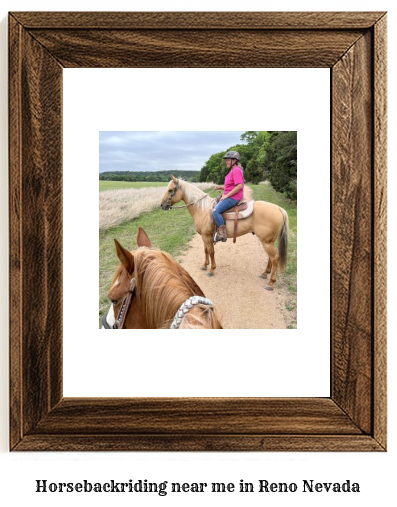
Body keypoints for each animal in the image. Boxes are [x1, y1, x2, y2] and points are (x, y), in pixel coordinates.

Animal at [160, 177, 288, 292]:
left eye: (171, 190)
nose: (162, 205)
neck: (202, 209)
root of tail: (278, 208)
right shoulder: (204, 237)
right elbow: (206, 251)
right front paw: (204, 265)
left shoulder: (207, 237)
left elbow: (211, 252)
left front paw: (211, 270)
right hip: (269, 241)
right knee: (271, 258)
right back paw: (264, 273)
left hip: (267, 242)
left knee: (275, 258)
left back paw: (270, 283)